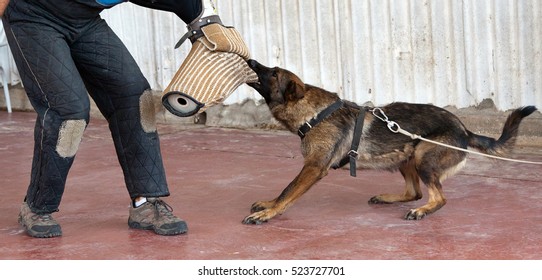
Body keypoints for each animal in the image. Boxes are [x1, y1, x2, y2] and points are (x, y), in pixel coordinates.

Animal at [245, 59, 540, 225]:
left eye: (273, 73)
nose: (251, 60)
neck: (314, 112)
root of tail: (464, 130)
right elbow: (284, 191)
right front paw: (269, 204)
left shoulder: (314, 168)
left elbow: (288, 191)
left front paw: (269, 214)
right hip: (405, 156)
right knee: (415, 192)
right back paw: (390, 198)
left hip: (422, 156)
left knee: (438, 197)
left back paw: (421, 211)